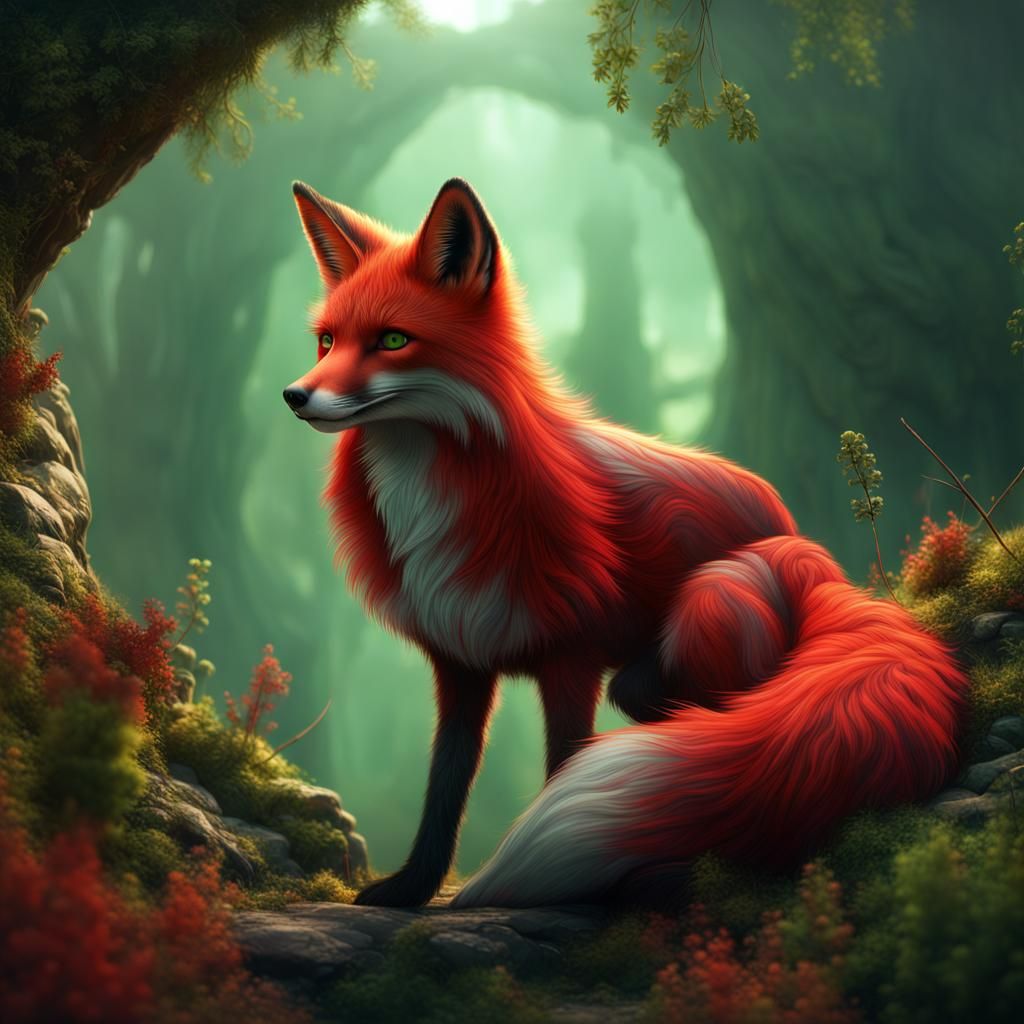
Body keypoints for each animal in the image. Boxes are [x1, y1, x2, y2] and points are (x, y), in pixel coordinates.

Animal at [284, 177, 969, 909]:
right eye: (327, 342)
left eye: (392, 339)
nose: (294, 395)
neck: (434, 504)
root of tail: (810, 549)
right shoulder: (459, 660)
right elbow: (444, 784)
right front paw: (411, 888)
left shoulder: (571, 659)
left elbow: (563, 761)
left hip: (716, 594)